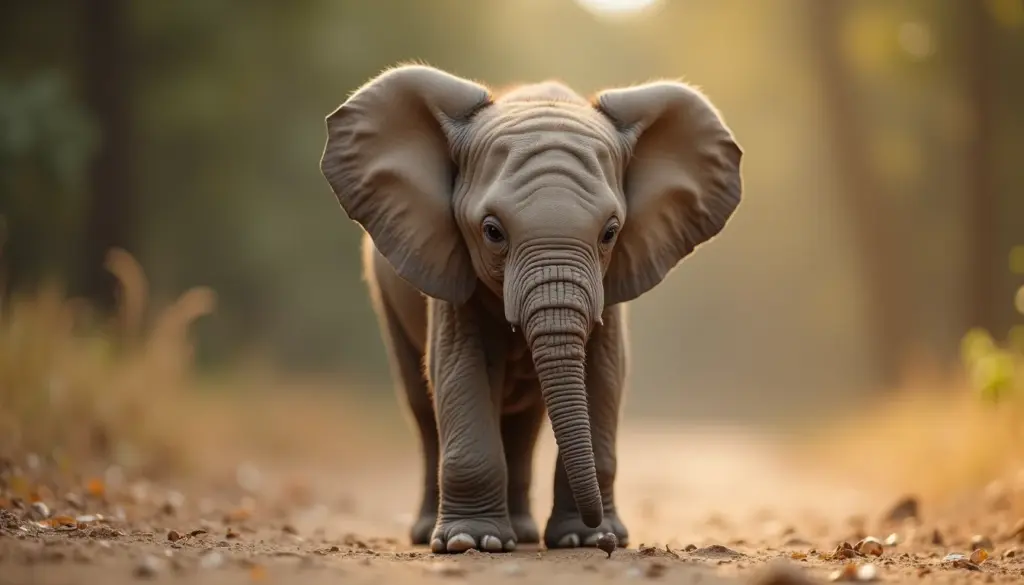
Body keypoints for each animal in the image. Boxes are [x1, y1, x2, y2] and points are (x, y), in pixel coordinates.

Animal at [318, 64, 743, 554]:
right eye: (492, 231)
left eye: (610, 232)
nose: (606, 538)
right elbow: (459, 366)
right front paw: (470, 542)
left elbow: (606, 372)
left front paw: (580, 538)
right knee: (422, 407)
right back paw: (435, 533)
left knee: (523, 423)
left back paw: (520, 533)